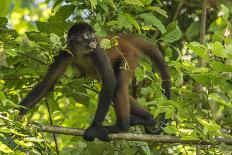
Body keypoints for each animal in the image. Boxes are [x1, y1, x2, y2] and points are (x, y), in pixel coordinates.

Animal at [19, 22, 171, 141]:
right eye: (86, 35)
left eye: (92, 34)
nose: (93, 39)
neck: (81, 52)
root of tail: (122, 39)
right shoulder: (65, 53)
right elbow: (48, 82)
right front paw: (16, 116)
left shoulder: (97, 50)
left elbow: (110, 82)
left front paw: (93, 128)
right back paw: (148, 118)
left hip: (129, 56)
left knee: (119, 86)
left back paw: (121, 128)